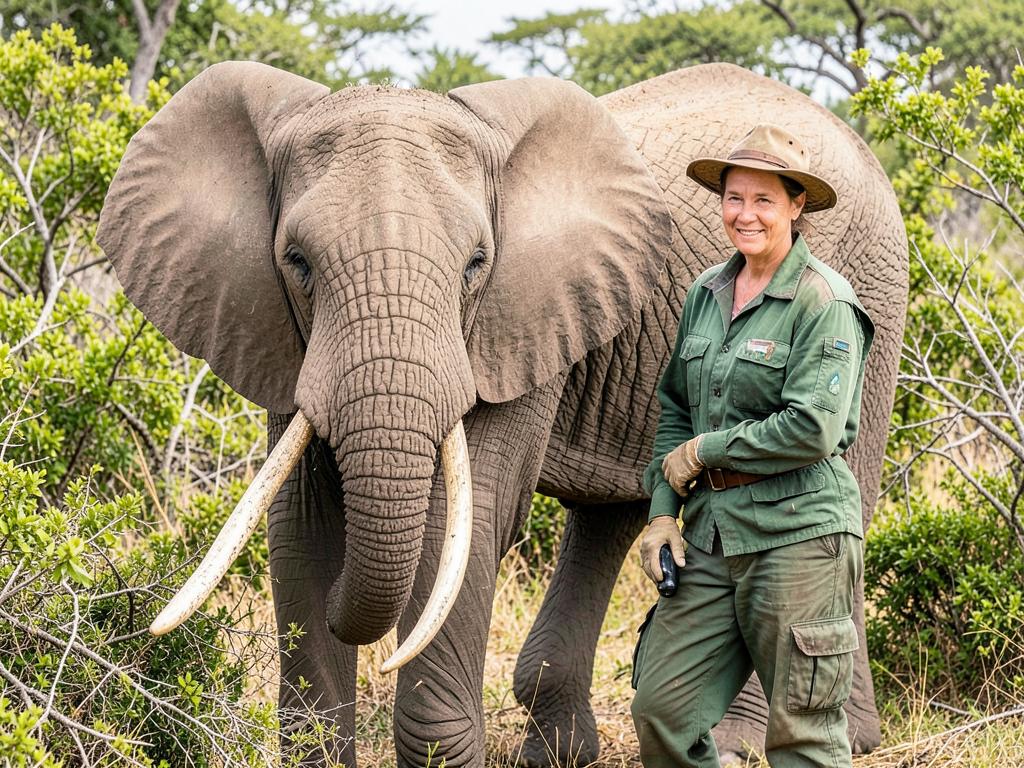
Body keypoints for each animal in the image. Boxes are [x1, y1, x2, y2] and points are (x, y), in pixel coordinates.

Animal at [97, 61, 907, 766]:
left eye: (475, 266)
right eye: (296, 262)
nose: (352, 623)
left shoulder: (512, 321)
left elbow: (469, 518)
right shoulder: (281, 333)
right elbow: (299, 520)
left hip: (873, 289)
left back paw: (759, 742)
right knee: (613, 515)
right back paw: (570, 751)